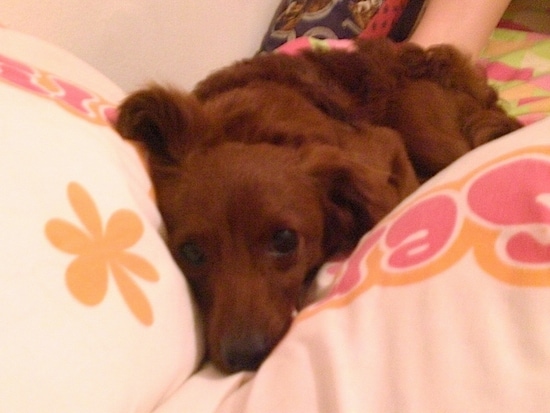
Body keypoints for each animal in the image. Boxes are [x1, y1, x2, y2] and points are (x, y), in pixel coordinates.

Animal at [115, 39, 520, 374]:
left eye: (285, 240)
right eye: (191, 252)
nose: (244, 356)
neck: (250, 130)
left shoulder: (383, 144)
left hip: (425, 130)